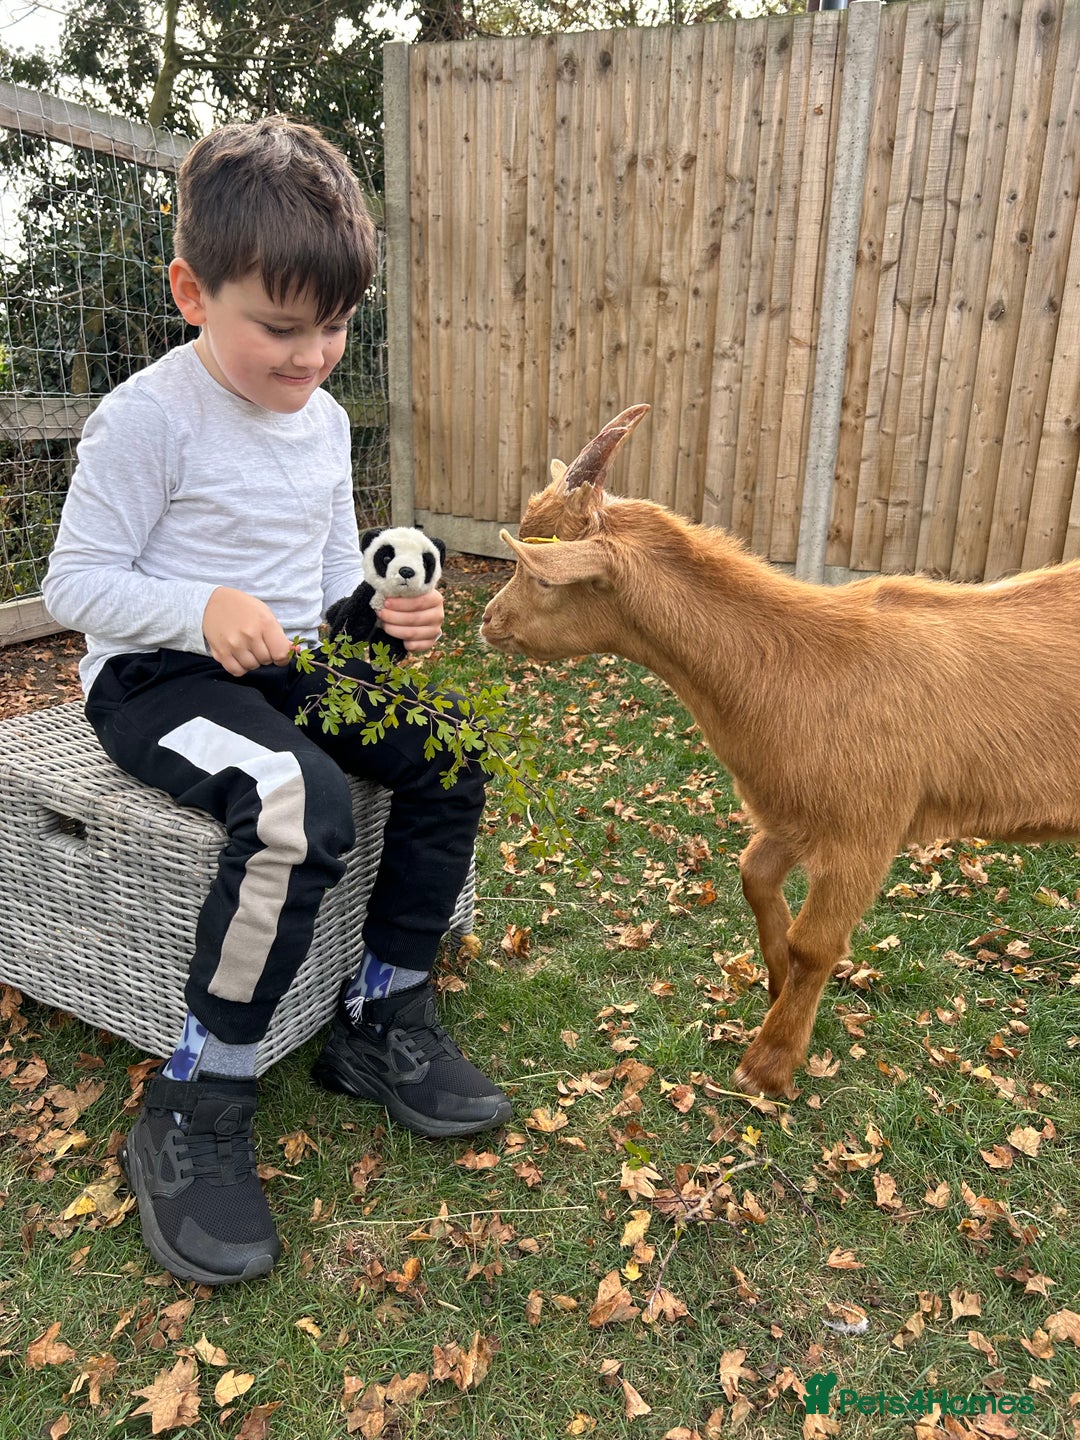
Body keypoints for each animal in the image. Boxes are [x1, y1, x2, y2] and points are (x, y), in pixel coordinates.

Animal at [480, 404, 1080, 1097]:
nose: (489, 620)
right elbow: (754, 875)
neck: (802, 663)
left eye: (537, 573)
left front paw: (769, 1061)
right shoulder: (794, 812)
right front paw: (771, 985)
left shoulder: (863, 830)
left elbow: (815, 943)